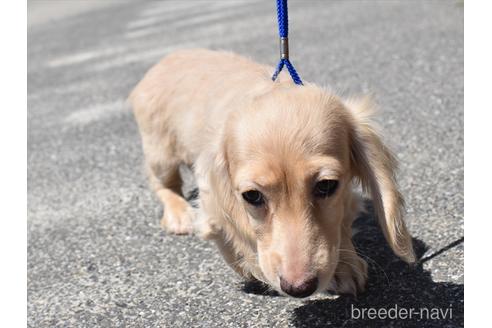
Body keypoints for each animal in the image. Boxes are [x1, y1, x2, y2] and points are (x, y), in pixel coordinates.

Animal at [129, 49, 414, 300]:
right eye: (252, 196)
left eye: (326, 186)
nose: (298, 288)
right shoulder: (213, 194)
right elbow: (224, 231)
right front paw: (246, 264)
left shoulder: (344, 199)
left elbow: (339, 224)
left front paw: (344, 266)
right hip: (161, 153)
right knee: (162, 185)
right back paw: (179, 214)